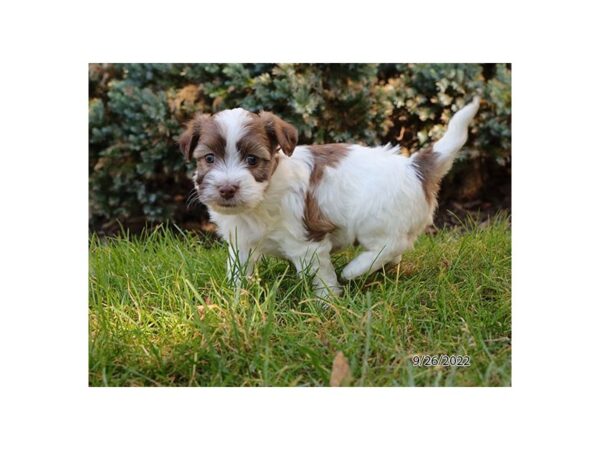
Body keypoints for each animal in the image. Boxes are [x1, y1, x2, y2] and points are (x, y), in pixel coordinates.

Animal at [180, 98, 480, 296]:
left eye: (252, 160)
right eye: (209, 158)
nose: (227, 189)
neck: (260, 199)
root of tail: (414, 166)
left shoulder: (307, 242)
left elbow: (320, 276)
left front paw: (327, 304)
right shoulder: (241, 243)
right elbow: (238, 270)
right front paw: (236, 299)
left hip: (375, 220)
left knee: (390, 245)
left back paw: (354, 270)